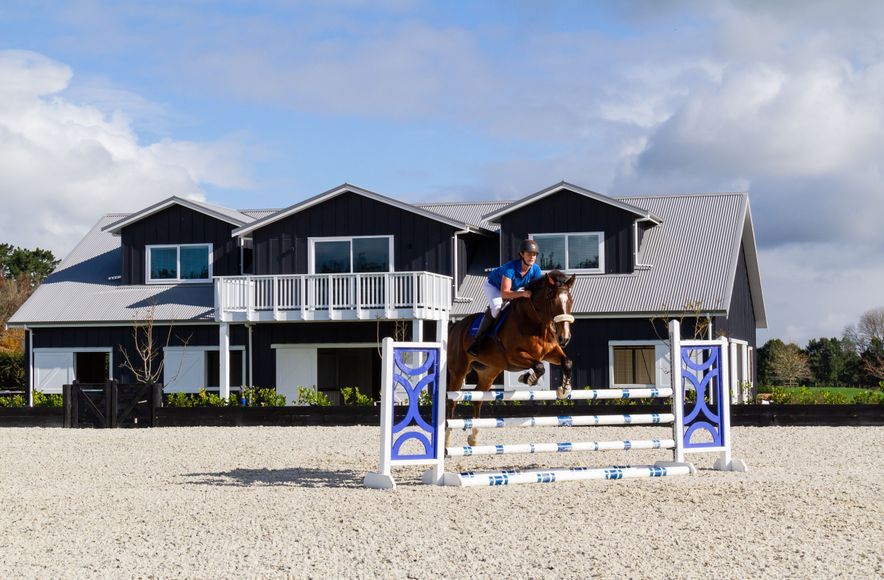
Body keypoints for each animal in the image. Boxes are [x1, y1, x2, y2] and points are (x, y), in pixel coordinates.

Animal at [446, 270, 576, 446]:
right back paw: (446, 439)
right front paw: (527, 378)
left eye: (570, 301)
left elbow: (566, 362)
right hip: (459, 372)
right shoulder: (514, 356)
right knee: (452, 400)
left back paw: (473, 438)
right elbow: (539, 367)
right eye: (553, 301)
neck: (534, 322)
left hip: (489, 373)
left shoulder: (550, 352)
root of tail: (456, 327)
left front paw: (564, 389)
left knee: (477, 397)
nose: (564, 338)